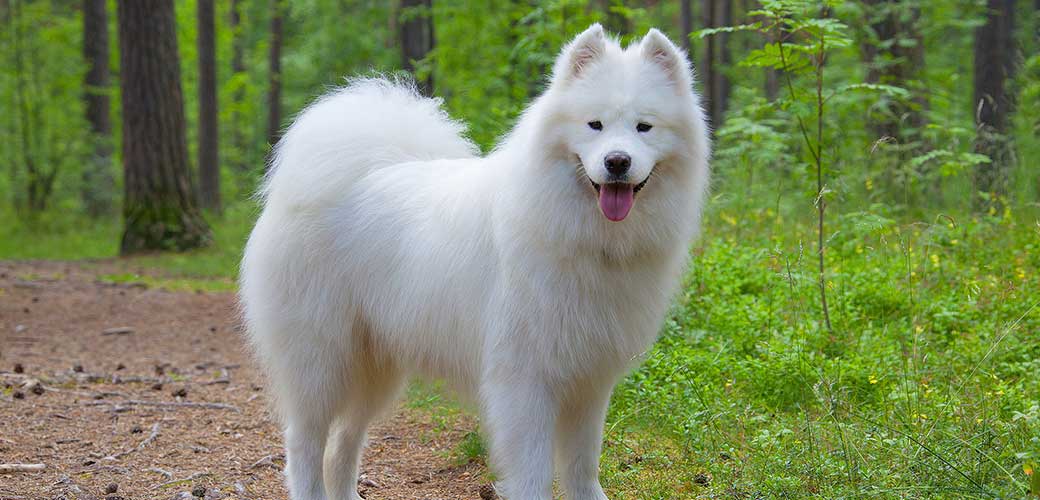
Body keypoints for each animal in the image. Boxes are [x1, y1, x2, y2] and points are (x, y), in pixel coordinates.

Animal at [240, 24, 711, 498]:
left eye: (644, 127)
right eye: (594, 124)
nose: (617, 161)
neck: (585, 236)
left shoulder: (589, 381)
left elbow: (582, 467)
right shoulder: (524, 379)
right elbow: (534, 474)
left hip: (376, 368)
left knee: (344, 442)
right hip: (320, 360)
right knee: (304, 442)